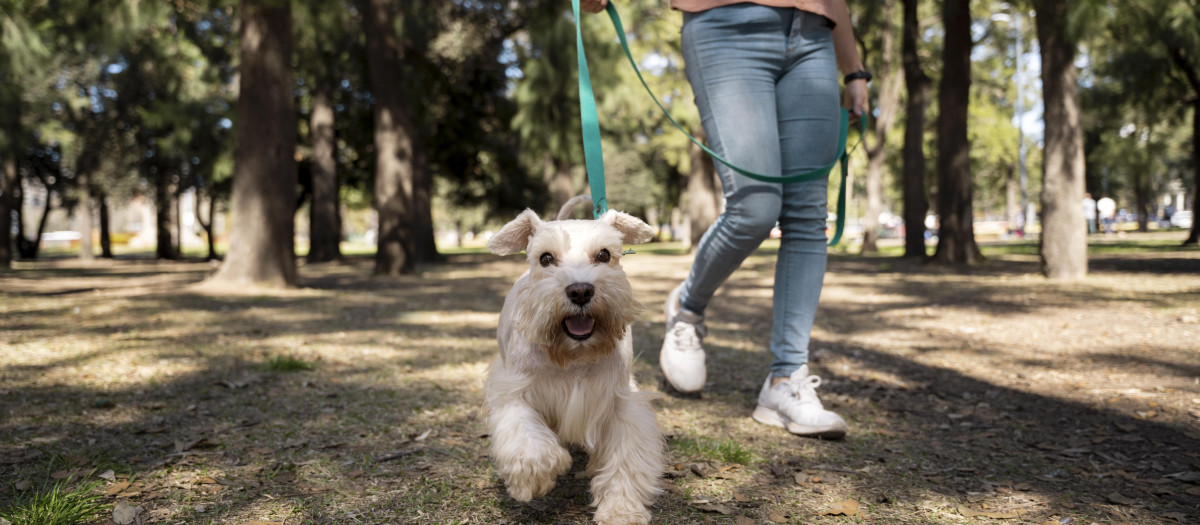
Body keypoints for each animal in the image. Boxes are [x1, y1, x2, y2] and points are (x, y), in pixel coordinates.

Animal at [482, 196, 662, 525]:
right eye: (545, 258)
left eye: (604, 255)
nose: (580, 290)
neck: (573, 355)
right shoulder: (514, 392)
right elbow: (528, 442)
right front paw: (535, 476)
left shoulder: (620, 402)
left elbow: (625, 458)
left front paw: (621, 510)